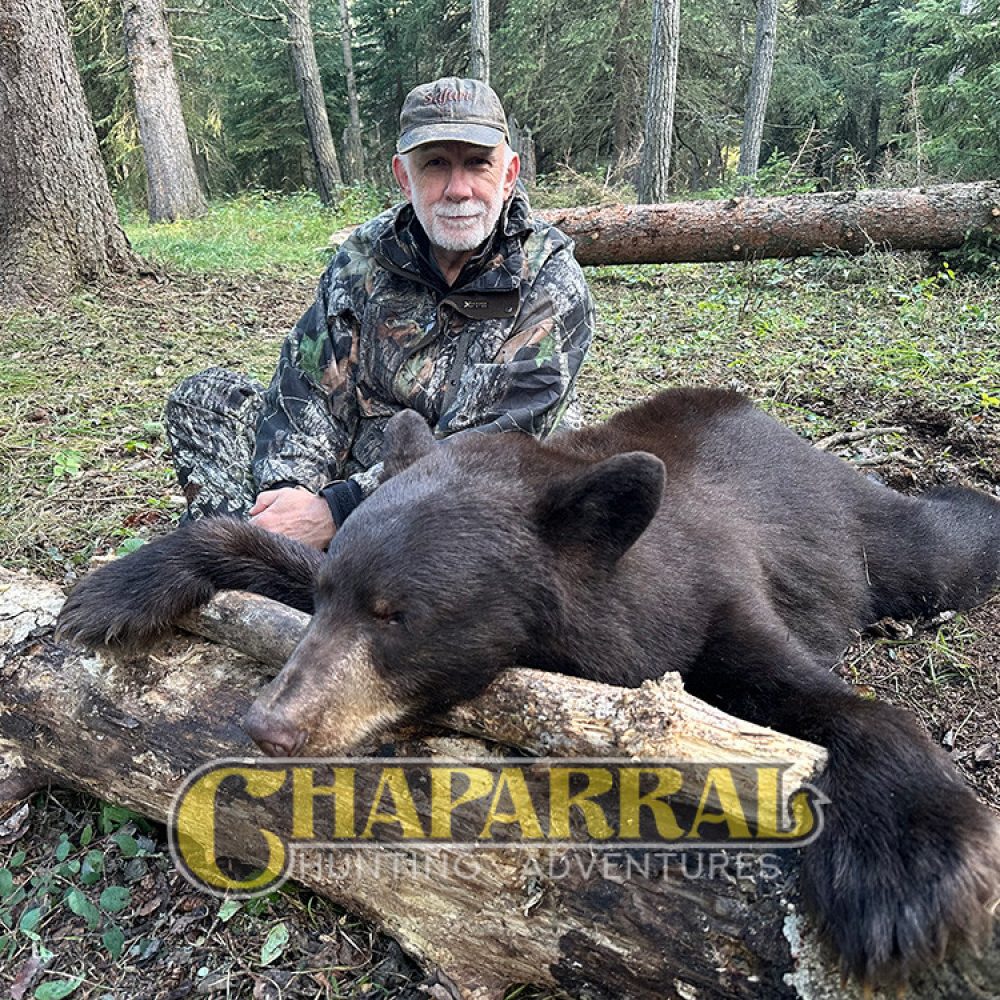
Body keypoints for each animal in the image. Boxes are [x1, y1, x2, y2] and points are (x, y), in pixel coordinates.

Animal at [57, 387, 1000, 989]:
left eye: (400, 615)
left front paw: (908, 871)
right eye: (333, 600)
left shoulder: (707, 609)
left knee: (937, 545)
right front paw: (117, 588)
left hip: (860, 533)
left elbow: (826, 708)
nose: (271, 726)